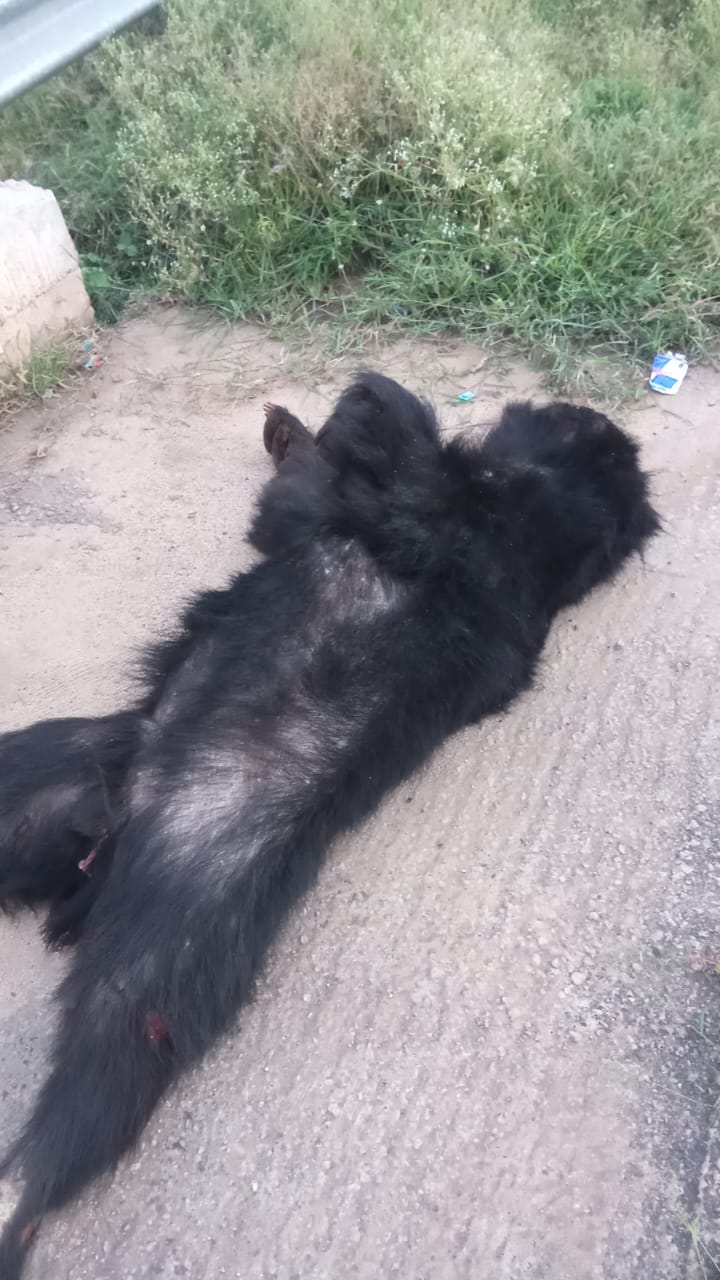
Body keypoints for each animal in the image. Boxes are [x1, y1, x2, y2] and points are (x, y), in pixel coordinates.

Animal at [0, 373, 659, 1276]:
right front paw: (307, 425)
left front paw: (367, 407)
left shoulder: (430, 523)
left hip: (174, 928)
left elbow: (386, 467)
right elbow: (315, 486)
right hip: (47, 782)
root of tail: (116, 829)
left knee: (87, 1098)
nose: (580, 412)